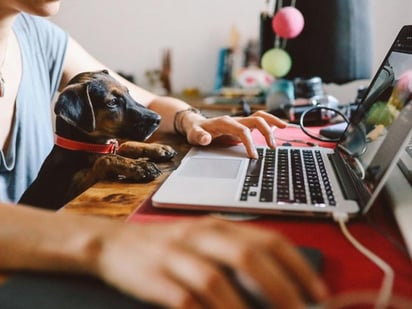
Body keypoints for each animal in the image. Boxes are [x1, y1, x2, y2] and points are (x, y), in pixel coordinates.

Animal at [19, 70, 175, 209]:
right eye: (112, 102)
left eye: (128, 92)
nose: (158, 119)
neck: (85, 146)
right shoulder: (70, 192)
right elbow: (105, 159)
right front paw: (138, 166)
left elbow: (124, 145)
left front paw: (158, 148)